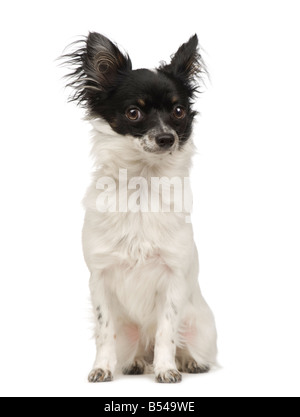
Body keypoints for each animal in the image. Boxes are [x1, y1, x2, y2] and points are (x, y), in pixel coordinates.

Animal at [62, 32, 217, 382]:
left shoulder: (173, 279)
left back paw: (188, 362)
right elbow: (104, 331)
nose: (166, 138)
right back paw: (134, 362)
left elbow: (166, 330)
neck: (141, 184)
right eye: (134, 113)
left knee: (180, 341)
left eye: (178, 111)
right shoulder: (100, 278)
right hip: (130, 332)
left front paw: (166, 369)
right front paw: (103, 368)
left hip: (201, 325)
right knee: (134, 347)